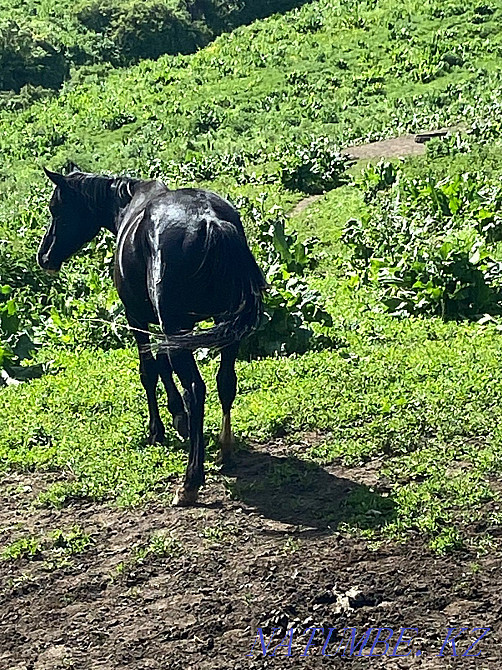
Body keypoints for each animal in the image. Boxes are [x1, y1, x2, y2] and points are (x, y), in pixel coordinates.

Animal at [37, 168, 266, 506]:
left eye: (57, 208)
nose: (44, 256)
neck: (129, 205)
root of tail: (210, 221)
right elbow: (162, 362)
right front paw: (178, 419)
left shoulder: (137, 319)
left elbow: (149, 370)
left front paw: (158, 429)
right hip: (224, 326)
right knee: (226, 381)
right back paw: (225, 450)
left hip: (175, 326)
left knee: (196, 389)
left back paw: (190, 482)